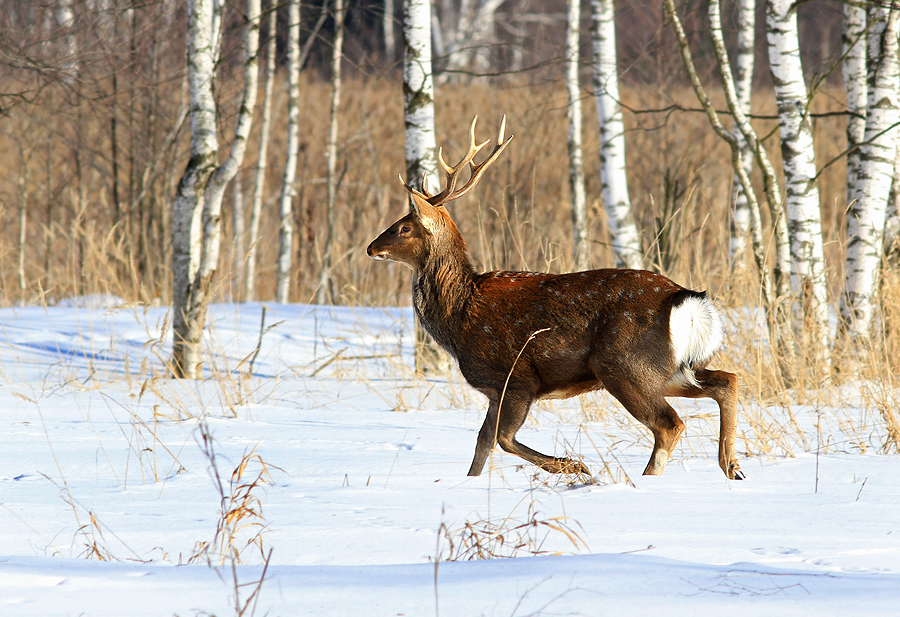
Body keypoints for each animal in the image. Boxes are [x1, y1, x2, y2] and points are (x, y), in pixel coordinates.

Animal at [366, 116, 744, 482]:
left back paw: (647, 479)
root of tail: (685, 300)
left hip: (624, 365)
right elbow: (482, 445)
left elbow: (502, 439)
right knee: (726, 380)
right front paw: (471, 483)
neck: (458, 317)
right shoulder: (495, 392)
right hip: (668, 368)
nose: (371, 248)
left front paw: (574, 466)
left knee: (670, 424)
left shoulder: (516, 377)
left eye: (404, 227)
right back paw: (732, 466)